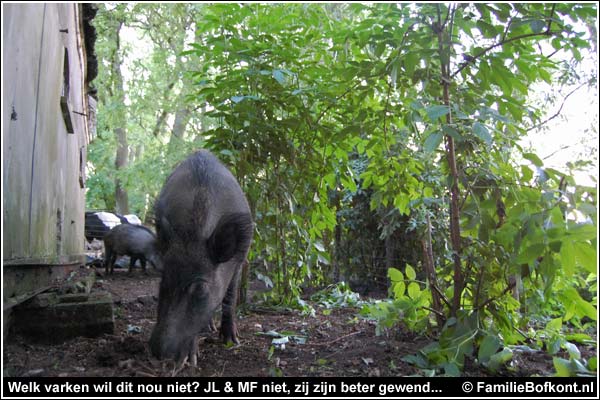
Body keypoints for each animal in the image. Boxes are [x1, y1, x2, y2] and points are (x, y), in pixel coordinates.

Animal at [151, 149, 254, 362]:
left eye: (199, 288)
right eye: (163, 281)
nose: (157, 351)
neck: (194, 235)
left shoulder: (240, 258)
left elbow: (230, 297)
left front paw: (232, 341)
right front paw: (191, 359)